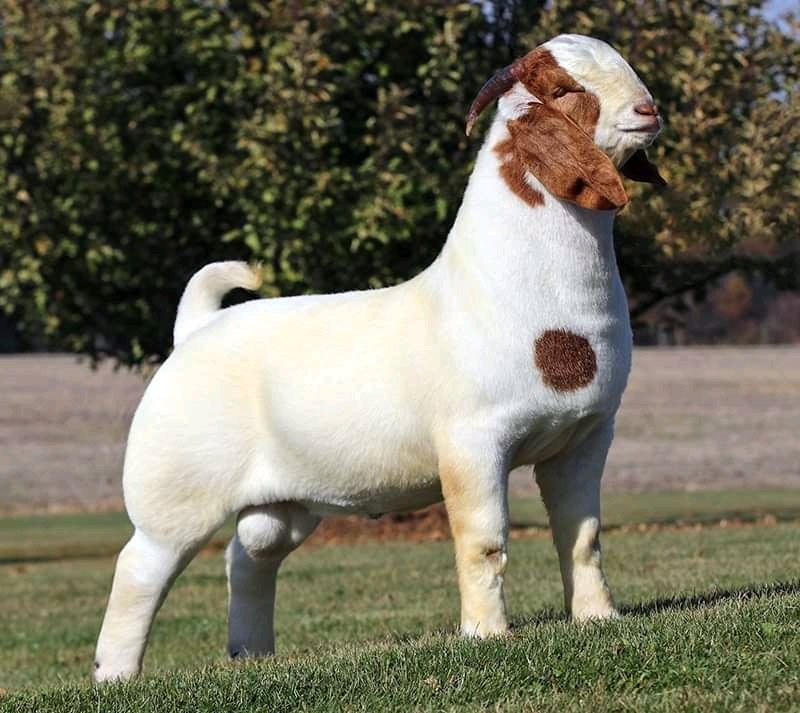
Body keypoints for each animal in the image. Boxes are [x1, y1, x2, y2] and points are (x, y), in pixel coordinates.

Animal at [94, 33, 665, 682]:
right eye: (564, 89)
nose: (649, 111)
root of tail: (196, 328)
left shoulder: (585, 436)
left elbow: (582, 535)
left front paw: (598, 620)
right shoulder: (472, 442)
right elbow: (483, 541)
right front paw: (487, 635)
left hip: (280, 503)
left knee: (249, 557)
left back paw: (253, 658)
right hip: (174, 492)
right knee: (139, 570)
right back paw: (115, 678)